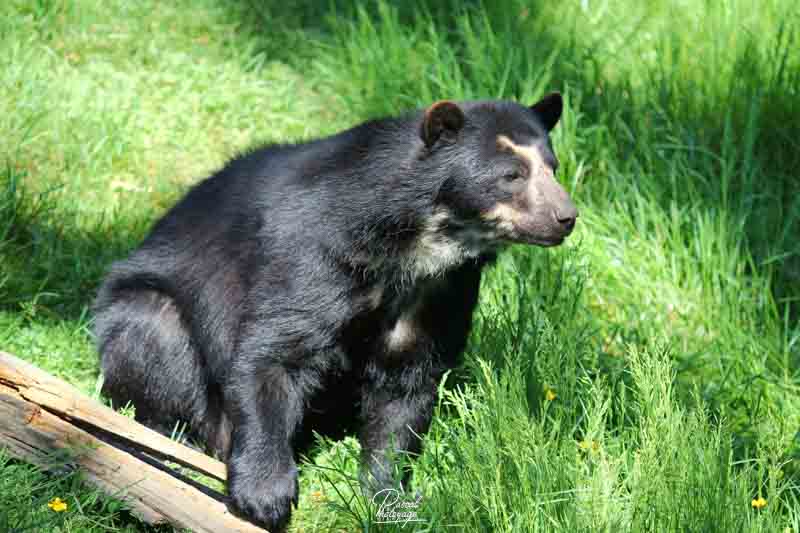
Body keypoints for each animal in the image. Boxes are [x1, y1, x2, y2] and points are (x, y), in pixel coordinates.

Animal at [94, 93, 580, 528]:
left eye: (553, 168)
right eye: (511, 175)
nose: (566, 217)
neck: (417, 247)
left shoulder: (443, 291)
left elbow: (406, 386)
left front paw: (388, 497)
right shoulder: (318, 253)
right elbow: (274, 354)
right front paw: (265, 497)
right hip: (144, 311)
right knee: (154, 336)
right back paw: (175, 441)